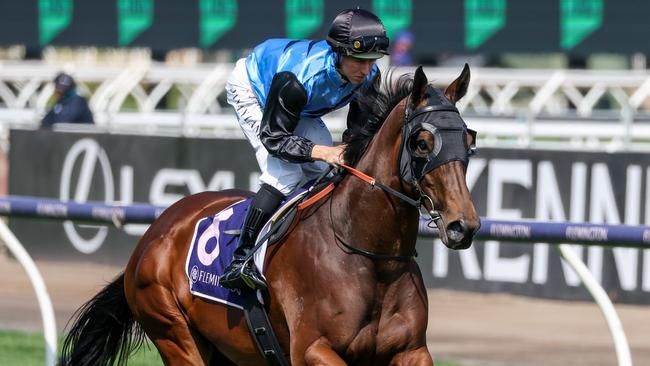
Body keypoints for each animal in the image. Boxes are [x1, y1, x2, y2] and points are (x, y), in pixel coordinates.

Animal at [59, 64, 476, 364]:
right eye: (422, 143)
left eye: (469, 142)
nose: (464, 226)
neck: (370, 257)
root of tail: (153, 233)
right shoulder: (312, 349)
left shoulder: (412, 350)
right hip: (174, 332)